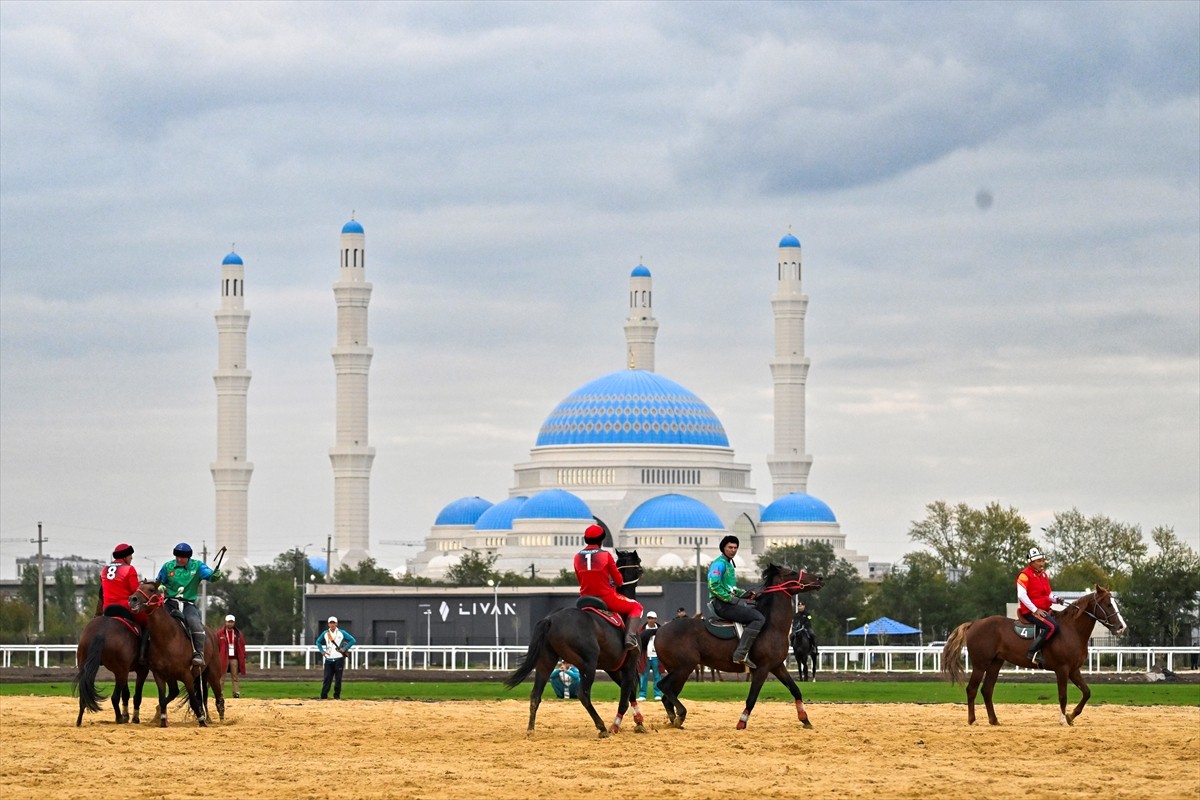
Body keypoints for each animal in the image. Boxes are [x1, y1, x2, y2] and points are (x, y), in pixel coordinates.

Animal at [130, 585, 225, 729]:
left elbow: (193, 700)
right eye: (139, 587)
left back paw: (219, 718)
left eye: (151, 589)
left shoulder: (187, 675)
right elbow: (162, 698)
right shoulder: (160, 675)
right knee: (178, 692)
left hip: (212, 673)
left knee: (218, 697)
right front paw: (163, 720)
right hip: (176, 676)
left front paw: (202, 721)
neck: (168, 638)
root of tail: (210, 633)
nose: (133, 599)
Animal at [501, 551, 643, 738]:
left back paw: (531, 729)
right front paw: (617, 725)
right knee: (583, 695)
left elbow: (629, 692)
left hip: (546, 662)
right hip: (588, 665)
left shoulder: (613, 668)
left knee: (535, 694)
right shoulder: (628, 664)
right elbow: (626, 696)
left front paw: (639, 721)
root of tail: (551, 619)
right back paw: (602, 727)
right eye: (638, 564)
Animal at [652, 566, 830, 729]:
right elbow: (752, 698)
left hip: (679, 670)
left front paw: (805, 719)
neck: (771, 626)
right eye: (792, 572)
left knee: (667, 696)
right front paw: (741, 722)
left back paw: (675, 721)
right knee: (663, 686)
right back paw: (681, 715)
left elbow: (795, 689)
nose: (820, 578)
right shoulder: (762, 669)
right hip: (684, 667)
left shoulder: (778, 666)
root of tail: (659, 630)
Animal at [940, 585, 1128, 729]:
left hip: (995, 664)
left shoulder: (1074, 670)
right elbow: (1063, 696)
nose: (1121, 627)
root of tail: (974, 623)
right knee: (971, 689)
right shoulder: (1062, 670)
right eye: (1108, 604)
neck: (1071, 630)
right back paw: (972, 720)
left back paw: (994, 720)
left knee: (986, 690)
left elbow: (1087, 693)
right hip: (980, 665)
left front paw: (1071, 716)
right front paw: (1063, 719)